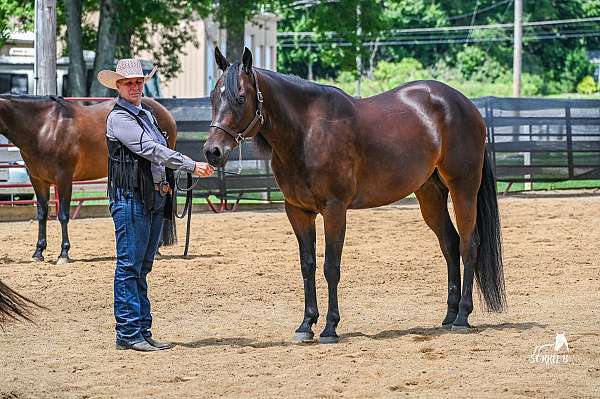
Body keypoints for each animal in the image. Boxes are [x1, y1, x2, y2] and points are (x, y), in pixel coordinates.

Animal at [0, 95, 177, 264]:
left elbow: (63, 215)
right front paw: (38, 252)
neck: (43, 128)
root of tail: (166, 113)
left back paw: (156, 250)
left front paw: (64, 253)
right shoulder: (38, 180)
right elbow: (42, 215)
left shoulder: (64, 178)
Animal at [204, 48, 504, 344]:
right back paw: (449, 316)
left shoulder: (334, 210)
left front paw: (329, 327)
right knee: (450, 244)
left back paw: (462, 316)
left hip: (463, 189)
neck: (307, 132)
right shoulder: (298, 212)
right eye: (213, 96)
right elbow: (307, 266)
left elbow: (331, 267)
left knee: (468, 244)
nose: (212, 151)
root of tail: (466, 105)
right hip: (430, 195)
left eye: (241, 98)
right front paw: (306, 325)